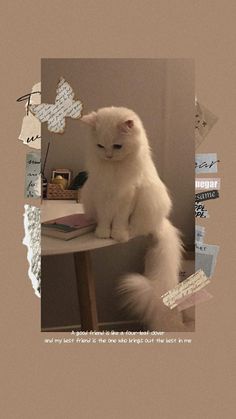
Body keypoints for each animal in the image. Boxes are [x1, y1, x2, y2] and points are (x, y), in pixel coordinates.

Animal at [81, 106, 192, 334]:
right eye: (100, 146)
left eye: (117, 146)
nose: (108, 156)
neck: (114, 170)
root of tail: (160, 222)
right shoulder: (101, 195)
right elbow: (104, 219)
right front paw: (103, 234)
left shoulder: (128, 197)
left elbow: (120, 221)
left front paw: (118, 235)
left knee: (136, 228)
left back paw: (129, 233)